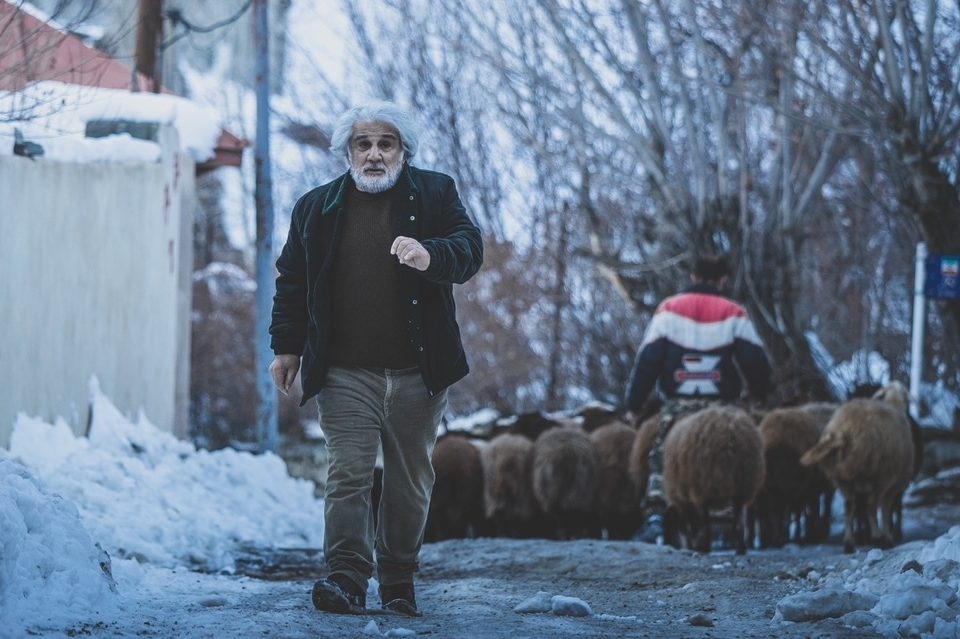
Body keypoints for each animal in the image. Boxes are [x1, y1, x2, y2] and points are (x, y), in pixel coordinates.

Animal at [660, 410, 764, 556]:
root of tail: (732, 430)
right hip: (744, 486)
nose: (685, 547)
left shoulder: (695, 495)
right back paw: (740, 549)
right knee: (739, 522)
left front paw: (700, 546)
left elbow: (699, 525)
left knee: (707, 524)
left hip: (704, 486)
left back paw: (707, 548)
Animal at [804, 382, 916, 552]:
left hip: (841, 478)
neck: (894, 403)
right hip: (879, 475)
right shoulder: (892, 483)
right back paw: (877, 537)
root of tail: (843, 429)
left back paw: (849, 542)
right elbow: (886, 510)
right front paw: (887, 537)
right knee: (871, 506)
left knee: (849, 506)